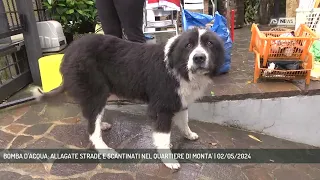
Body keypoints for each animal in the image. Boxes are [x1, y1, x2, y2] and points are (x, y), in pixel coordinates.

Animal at [33, 27, 225, 169]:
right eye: (188, 45)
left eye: (209, 44)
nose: (199, 58)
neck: (178, 65)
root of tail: (69, 51)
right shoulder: (161, 107)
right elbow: (163, 137)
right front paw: (169, 161)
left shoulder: (179, 99)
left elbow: (184, 120)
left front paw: (188, 134)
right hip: (96, 92)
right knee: (92, 127)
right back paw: (105, 149)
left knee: (90, 117)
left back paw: (101, 124)